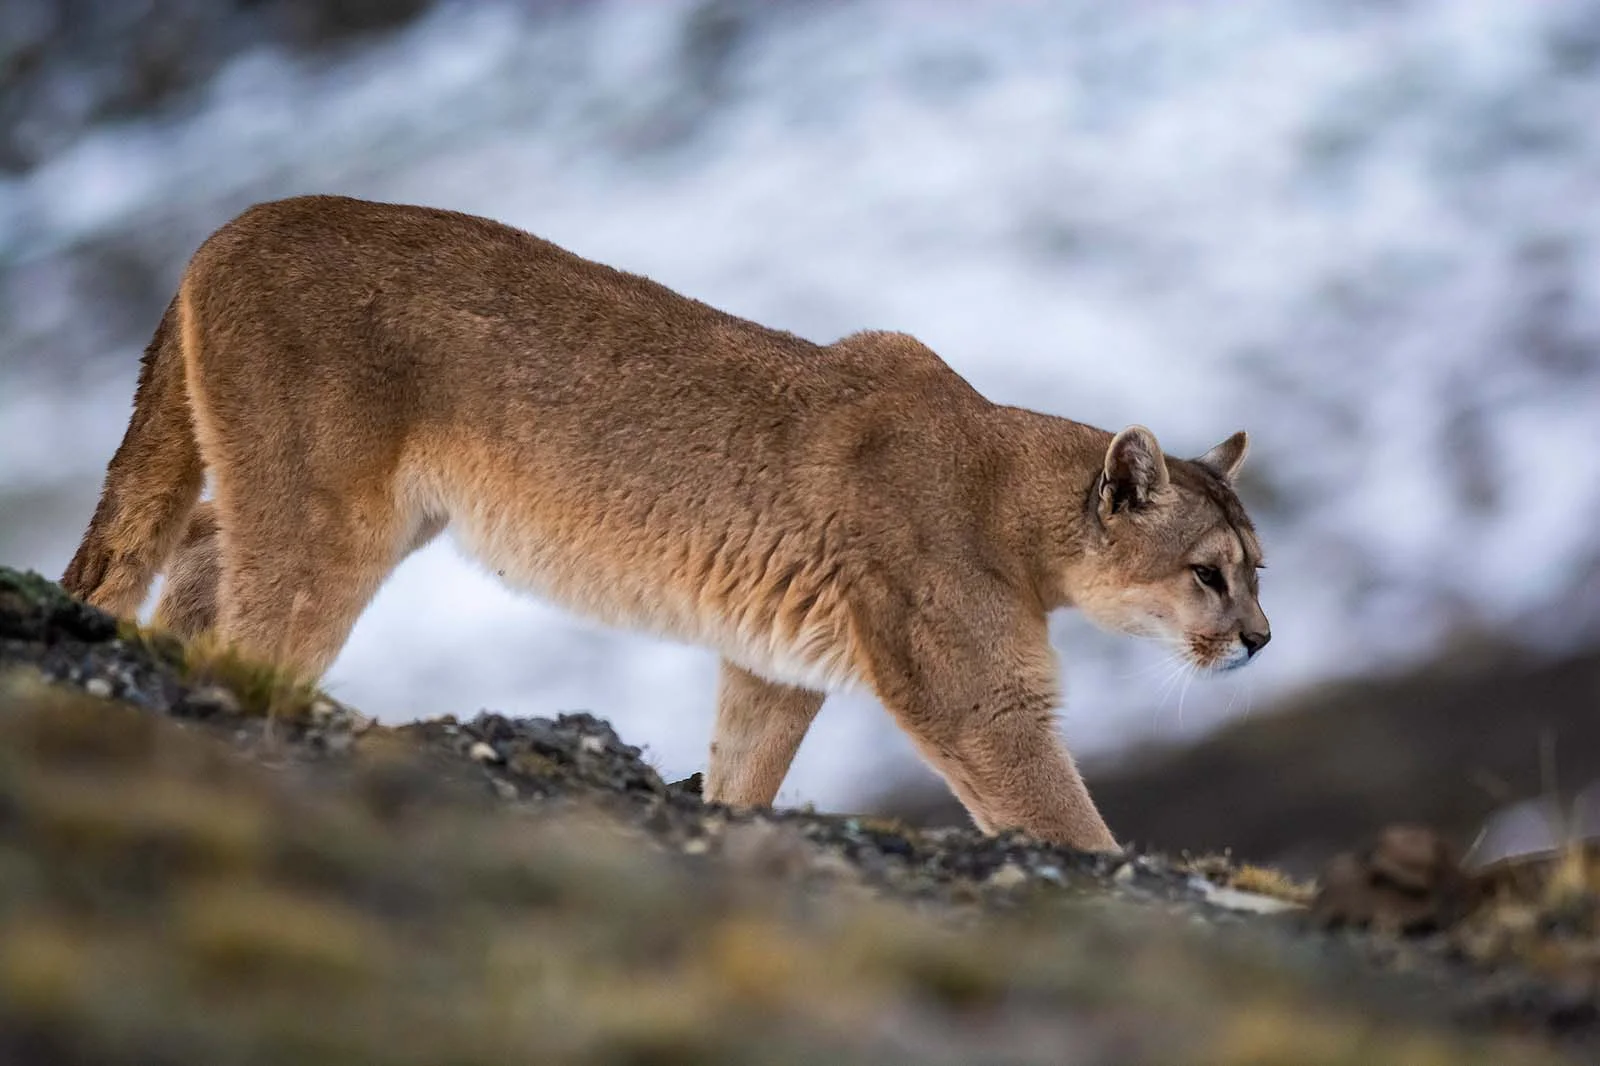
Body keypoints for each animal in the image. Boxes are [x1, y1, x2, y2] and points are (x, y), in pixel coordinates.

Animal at [62, 196, 1267, 845]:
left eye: (1259, 568)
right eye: (1209, 573)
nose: (1260, 640)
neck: (1011, 503)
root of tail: (229, 225)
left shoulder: (775, 661)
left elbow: (743, 765)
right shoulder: (981, 701)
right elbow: (1065, 821)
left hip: (362, 508)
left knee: (201, 539)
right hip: (329, 522)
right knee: (253, 622)